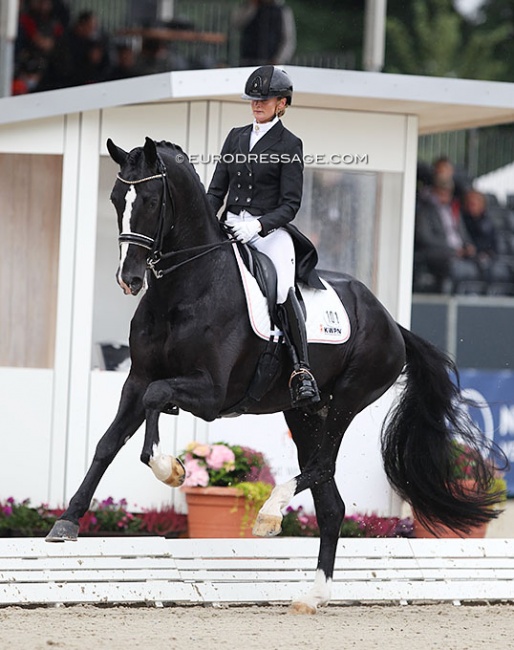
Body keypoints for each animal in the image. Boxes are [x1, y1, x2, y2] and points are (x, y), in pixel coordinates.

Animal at [47, 138, 504, 612]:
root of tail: (392, 323)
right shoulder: (136, 379)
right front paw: (67, 522)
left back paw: (270, 515)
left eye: (153, 201)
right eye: (117, 199)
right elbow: (108, 442)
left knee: (322, 467)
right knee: (331, 503)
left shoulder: (210, 393)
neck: (185, 288)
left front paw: (167, 467)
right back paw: (314, 594)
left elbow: (157, 399)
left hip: (345, 402)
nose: (129, 279)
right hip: (302, 414)